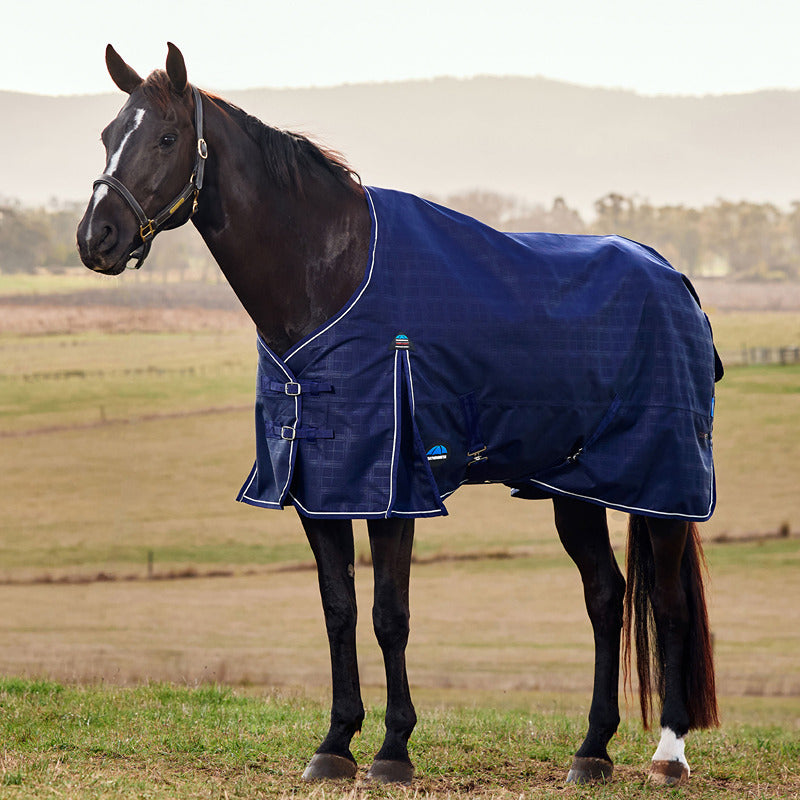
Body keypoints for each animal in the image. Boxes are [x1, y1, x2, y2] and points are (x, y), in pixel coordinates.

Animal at [77, 43, 720, 787]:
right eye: (107, 134)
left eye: (167, 137)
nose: (96, 237)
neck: (329, 277)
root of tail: (674, 279)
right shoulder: (318, 487)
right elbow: (339, 609)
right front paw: (335, 743)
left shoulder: (393, 486)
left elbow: (390, 615)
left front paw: (392, 750)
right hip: (575, 487)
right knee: (606, 598)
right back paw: (591, 750)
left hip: (663, 484)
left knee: (668, 604)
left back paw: (668, 754)